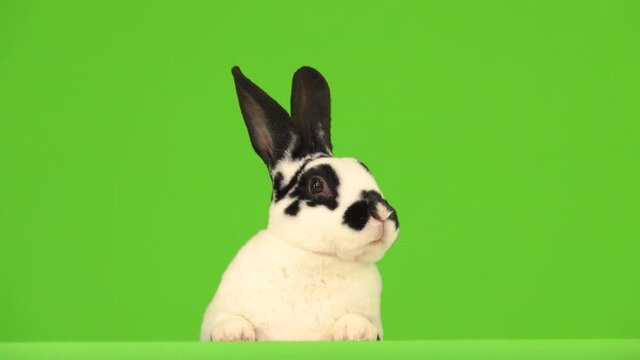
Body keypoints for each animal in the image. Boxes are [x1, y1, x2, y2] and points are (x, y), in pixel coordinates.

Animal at [200, 66, 400, 342]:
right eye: (317, 184)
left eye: (365, 168)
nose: (382, 213)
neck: (316, 256)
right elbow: (226, 321)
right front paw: (234, 332)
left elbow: (362, 323)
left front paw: (355, 330)